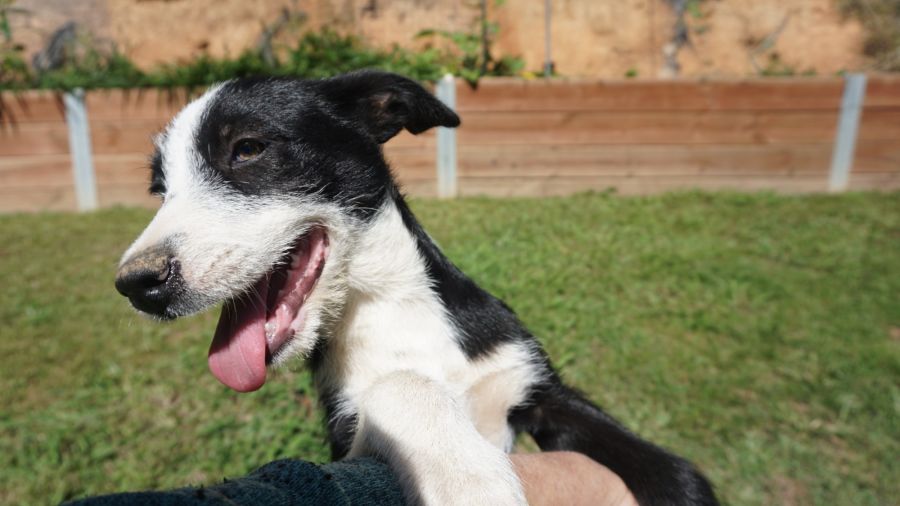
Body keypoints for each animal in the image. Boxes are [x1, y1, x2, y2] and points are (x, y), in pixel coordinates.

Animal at [114, 70, 719, 506]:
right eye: (160, 189)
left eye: (247, 148)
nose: (137, 285)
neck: (387, 303)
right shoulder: (347, 441)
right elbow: (400, 383)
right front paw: (467, 478)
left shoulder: (539, 391)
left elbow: (679, 474)